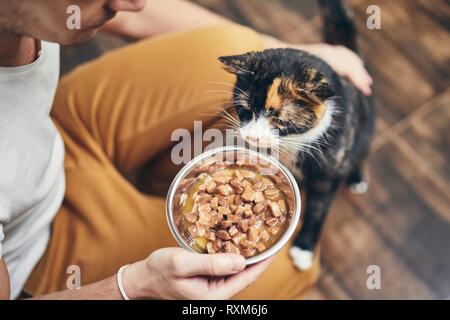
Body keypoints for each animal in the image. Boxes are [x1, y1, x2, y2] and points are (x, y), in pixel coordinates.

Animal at [218, 0, 376, 270]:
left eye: (280, 121)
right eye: (246, 111)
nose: (253, 138)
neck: (293, 144)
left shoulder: (327, 172)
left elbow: (317, 208)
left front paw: (304, 248)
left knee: (361, 151)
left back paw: (356, 176)